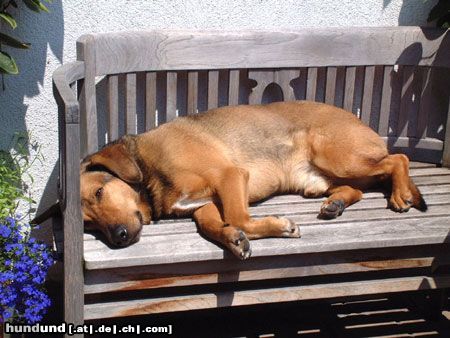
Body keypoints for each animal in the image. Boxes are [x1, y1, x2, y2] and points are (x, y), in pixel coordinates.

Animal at [80, 100, 426, 258]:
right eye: (88, 225)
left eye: (99, 192)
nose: (119, 237)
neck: (148, 169)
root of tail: (361, 122)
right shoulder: (202, 203)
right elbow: (210, 224)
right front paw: (232, 238)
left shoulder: (230, 176)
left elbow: (238, 217)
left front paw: (278, 227)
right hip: (318, 179)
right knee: (357, 188)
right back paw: (336, 204)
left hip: (334, 155)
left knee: (397, 159)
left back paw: (400, 194)